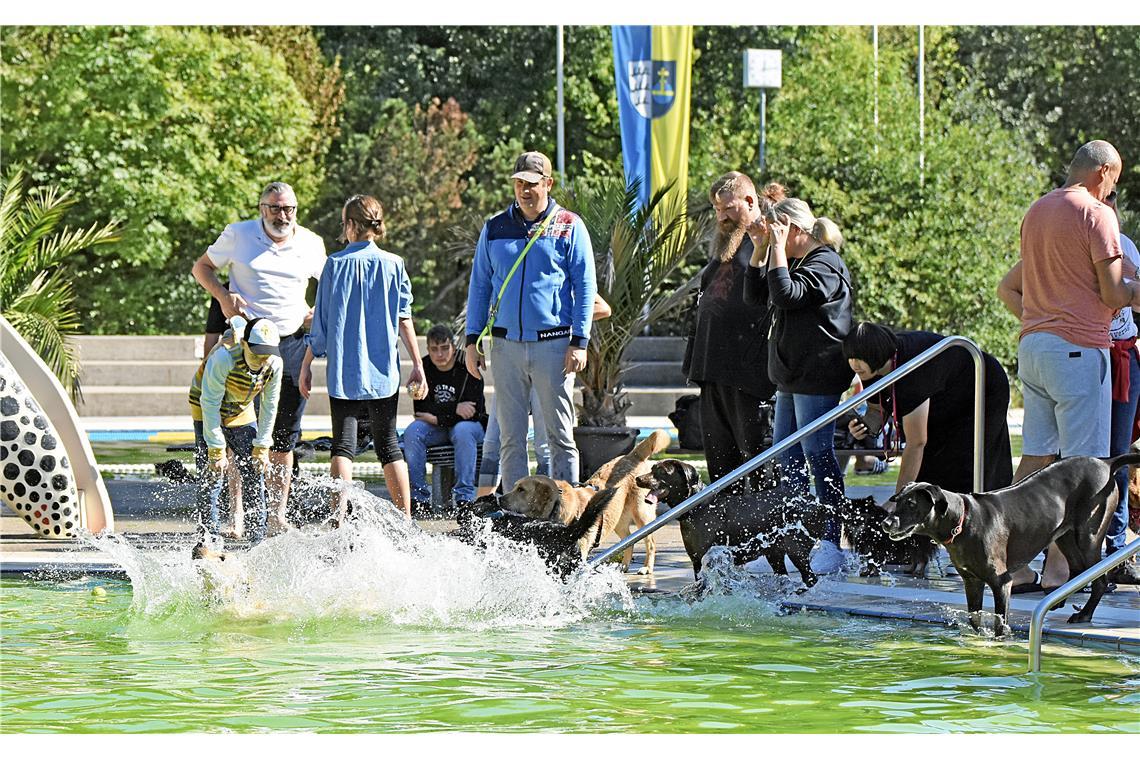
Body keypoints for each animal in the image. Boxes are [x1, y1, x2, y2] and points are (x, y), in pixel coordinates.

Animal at [497, 430, 670, 574]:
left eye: (521, 490)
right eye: (514, 487)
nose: (499, 498)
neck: (557, 507)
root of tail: (632, 456)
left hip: (641, 514)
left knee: (650, 542)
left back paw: (647, 568)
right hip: (617, 519)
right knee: (628, 539)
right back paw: (624, 566)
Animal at [880, 455, 1130, 638]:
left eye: (911, 504)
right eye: (898, 501)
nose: (886, 523)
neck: (962, 521)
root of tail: (1106, 463)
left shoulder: (1001, 582)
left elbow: (1000, 622)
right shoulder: (971, 581)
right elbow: (974, 617)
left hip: (1089, 536)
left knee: (1099, 580)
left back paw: (1084, 614)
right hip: (1065, 537)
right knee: (1077, 569)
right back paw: (1060, 600)